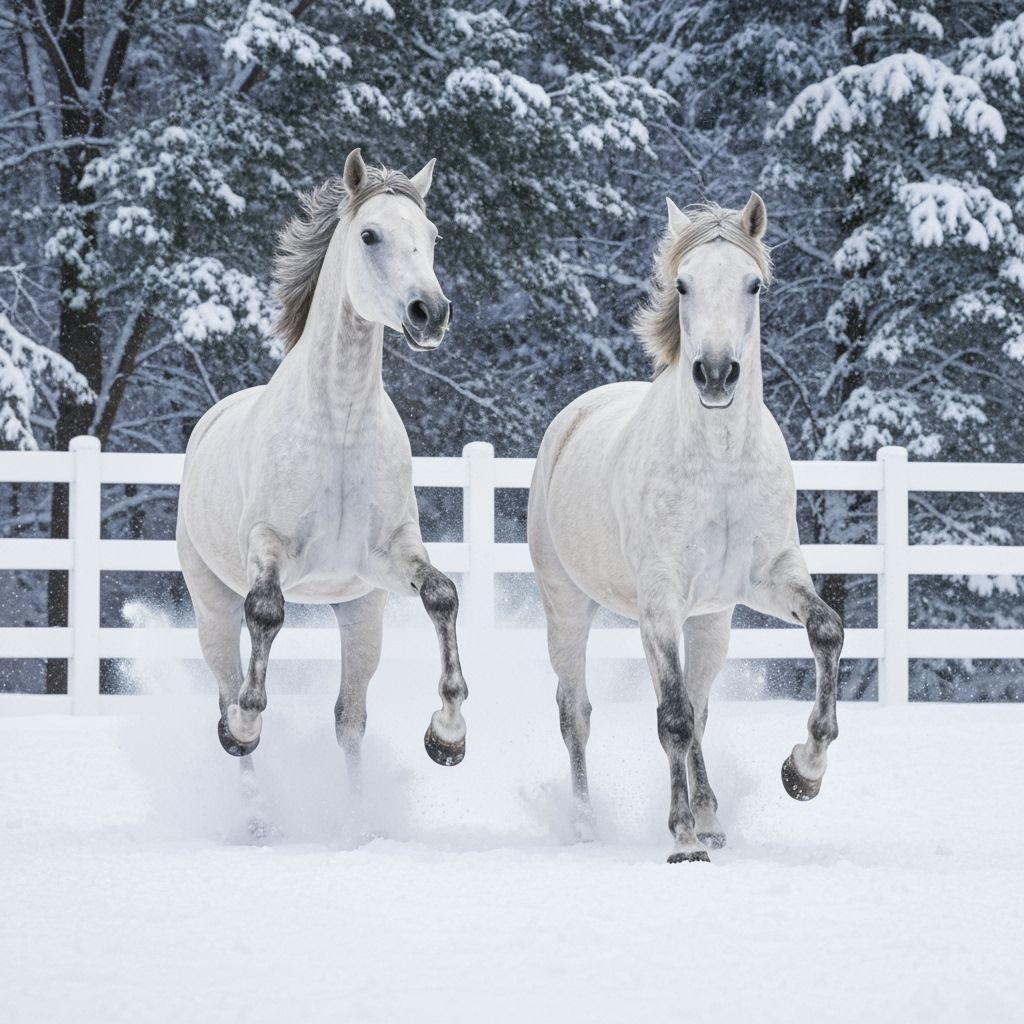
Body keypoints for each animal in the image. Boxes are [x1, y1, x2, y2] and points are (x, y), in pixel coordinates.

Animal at [176, 148, 468, 786]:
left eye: (433, 235)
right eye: (369, 234)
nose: (430, 313)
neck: (340, 428)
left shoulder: (388, 557)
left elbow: (442, 595)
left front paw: (448, 735)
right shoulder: (269, 548)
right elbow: (266, 612)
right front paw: (247, 723)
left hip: (360, 612)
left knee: (349, 718)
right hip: (210, 602)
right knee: (226, 693)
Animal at [527, 194, 844, 863]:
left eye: (753, 284)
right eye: (683, 284)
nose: (717, 374)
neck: (719, 466)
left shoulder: (767, 579)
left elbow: (826, 631)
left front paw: (803, 771)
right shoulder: (659, 601)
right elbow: (669, 716)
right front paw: (682, 839)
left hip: (711, 621)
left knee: (699, 708)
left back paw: (714, 816)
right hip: (567, 606)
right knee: (576, 711)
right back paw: (587, 825)